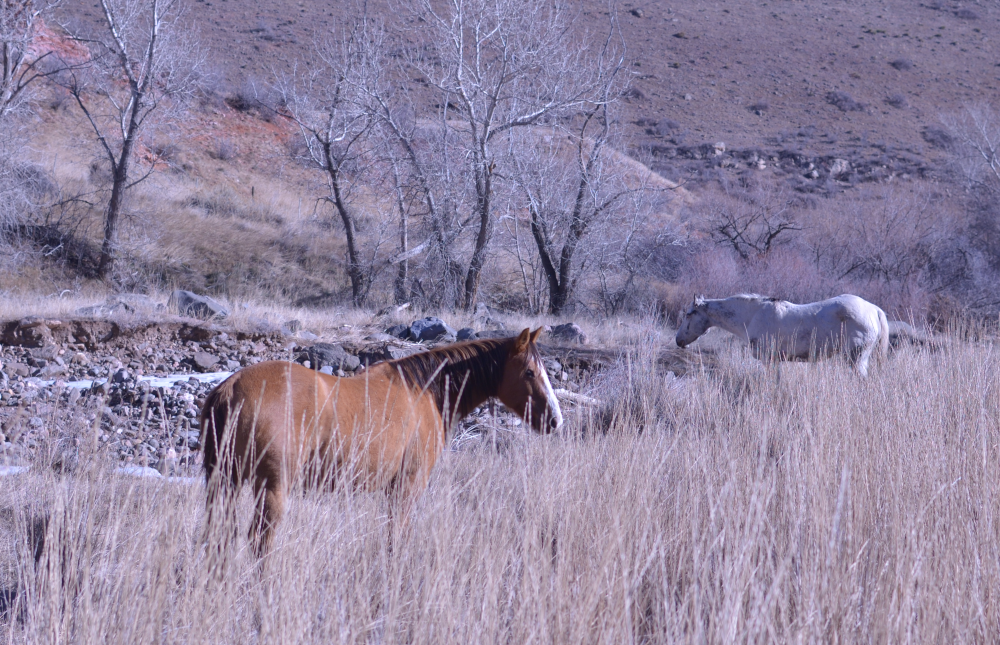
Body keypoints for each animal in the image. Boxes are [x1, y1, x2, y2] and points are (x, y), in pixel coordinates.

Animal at [199, 327, 563, 557]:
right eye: (530, 372)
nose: (555, 420)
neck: (423, 391)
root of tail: (231, 387)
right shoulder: (406, 487)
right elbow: (396, 540)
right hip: (272, 488)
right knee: (260, 543)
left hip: (225, 483)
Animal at [675, 294, 889, 376]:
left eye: (689, 314)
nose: (678, 340)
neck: (752, 315)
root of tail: (874, 310)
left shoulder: (767, 359)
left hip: (856, 358)